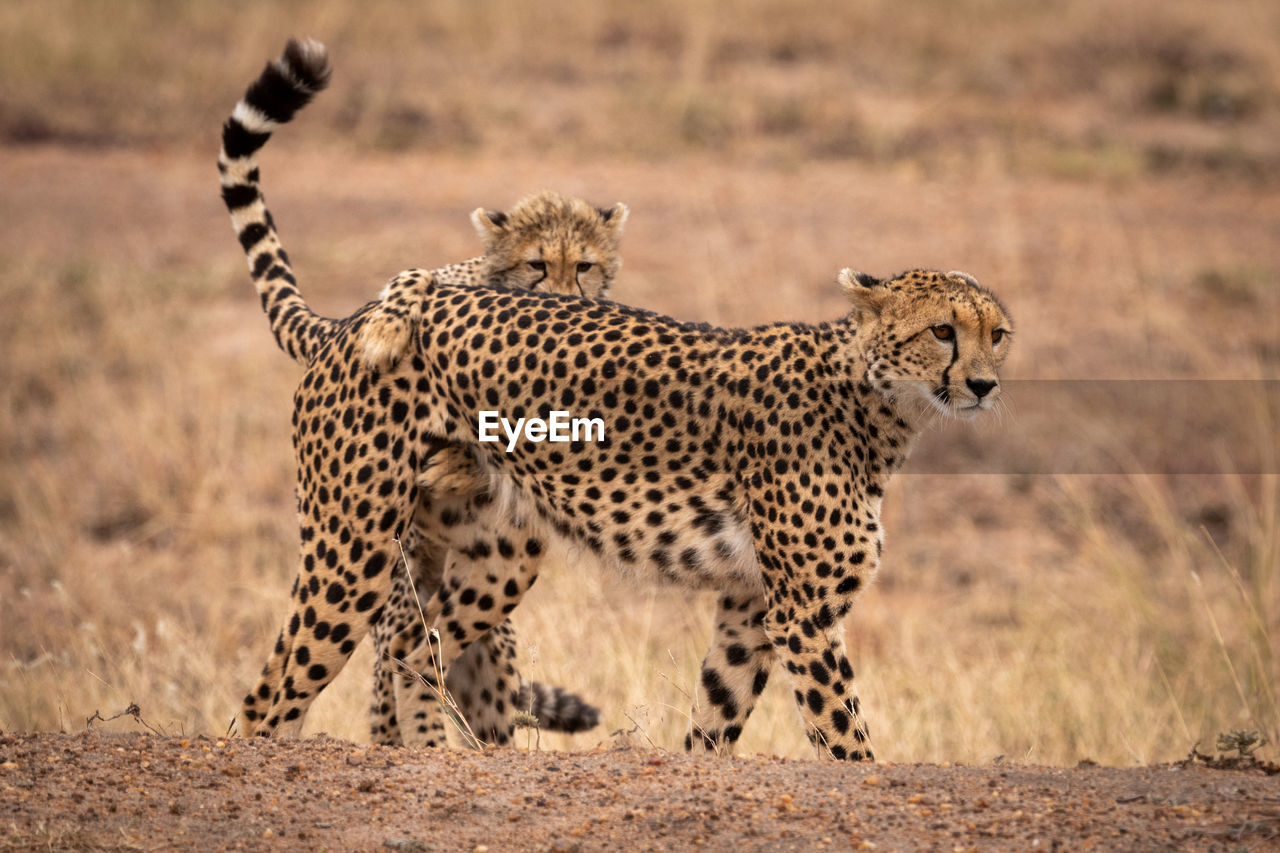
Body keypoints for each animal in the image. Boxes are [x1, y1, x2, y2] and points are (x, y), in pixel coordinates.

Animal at [216, 39, 624, 742]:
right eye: (536, 265)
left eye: (585, 266)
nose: (566, 301)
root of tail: (330, 331)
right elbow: (410, 282)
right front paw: (390, 332)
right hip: (375, 557)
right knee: (363, 668)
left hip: (482, 589)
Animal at [240, 245, 1013, 758]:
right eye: (943, 330)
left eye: (996, 333)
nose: (984, 386)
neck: (877, 403)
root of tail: (352, 318)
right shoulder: (806, 613)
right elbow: (846, 735)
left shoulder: (751, 605)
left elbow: (716, 714)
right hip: (354, 552)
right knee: (270, 693)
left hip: (497, 556)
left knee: (412, 646)